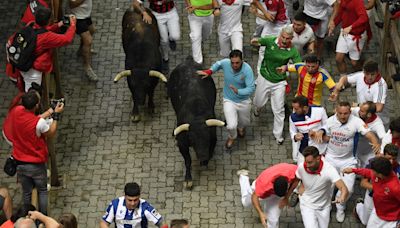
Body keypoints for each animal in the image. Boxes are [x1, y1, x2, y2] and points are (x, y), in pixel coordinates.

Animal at [167, 57, 225, 189]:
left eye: (207, 138)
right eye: (192, 139)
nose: (202, 156)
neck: (196, 115)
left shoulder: (213, 138)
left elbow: (210, 150)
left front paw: (205, 161)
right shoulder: (182, 144)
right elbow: (187, 160)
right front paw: (188, 179)